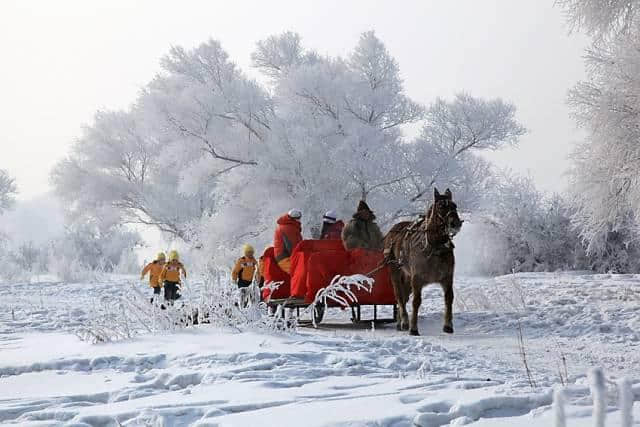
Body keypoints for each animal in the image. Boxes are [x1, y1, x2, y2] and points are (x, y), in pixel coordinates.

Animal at [382, 189, 462, 336]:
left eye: (454, 205)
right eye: (440, 206)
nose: (456, 223)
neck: (434, 247)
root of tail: (392, 231)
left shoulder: (447, 277)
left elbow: (449, 298)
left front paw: (448, 326)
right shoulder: (417, 278)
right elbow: (416, 301)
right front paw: (413, 328)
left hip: (407, 277)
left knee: (404, 297)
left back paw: (399, 322)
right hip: (395, 271)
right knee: (399, 297)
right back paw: (404, 321)